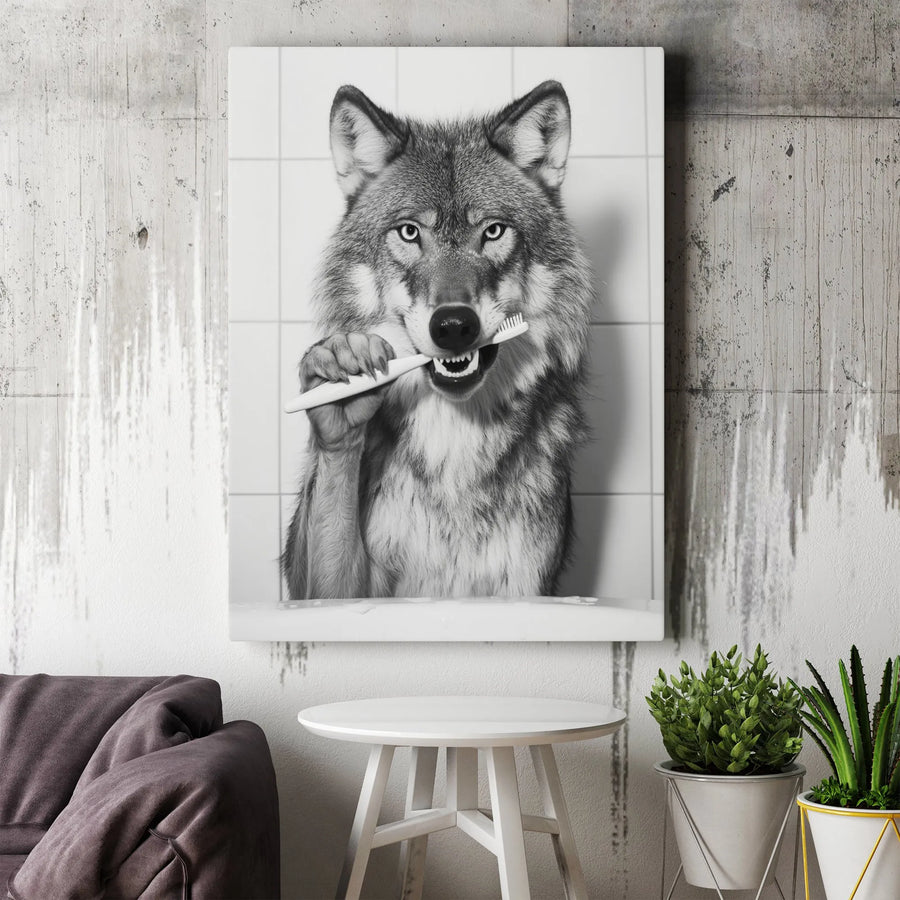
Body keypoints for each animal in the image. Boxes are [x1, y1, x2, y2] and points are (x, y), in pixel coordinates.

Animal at [282, 79, 592, 601]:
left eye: (493, 231)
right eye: (410, 233)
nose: (452, 326)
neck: (453, 437)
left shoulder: (528, 588)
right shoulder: (338, 589)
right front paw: (342, 373)